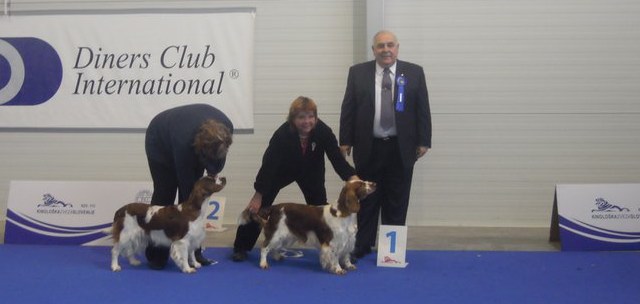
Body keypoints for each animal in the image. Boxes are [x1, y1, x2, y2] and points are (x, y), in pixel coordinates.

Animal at [240, 179, 376, 274]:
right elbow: (335, 256)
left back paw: (278, 256)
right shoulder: (333, 242)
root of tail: (274, 207)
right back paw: (263, 264)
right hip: (276, 233)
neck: (343, 213)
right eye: (361, 184)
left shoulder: (348, 239)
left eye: (363, 181)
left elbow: (346, 255)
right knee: (265, 247)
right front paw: (338, 269)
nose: (374, 183)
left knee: (274, 248)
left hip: (286, 236)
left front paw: (349, 265)